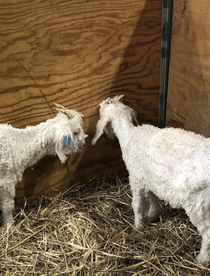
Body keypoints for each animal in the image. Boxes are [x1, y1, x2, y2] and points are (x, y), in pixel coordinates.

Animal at [92, 95, 210, 266]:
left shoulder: (136, 178)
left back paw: (201, 259)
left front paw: (138, 226)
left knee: (207, 234)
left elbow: (138, 205)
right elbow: (152, 198)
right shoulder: (149, 179)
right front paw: (153, 214)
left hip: (198, 204)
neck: (130, 135)